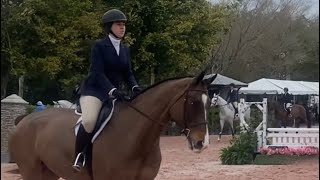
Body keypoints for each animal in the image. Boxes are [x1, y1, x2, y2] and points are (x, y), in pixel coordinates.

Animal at [8, 70, 218, 180]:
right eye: (193, 102)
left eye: (209, 103)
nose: (202, 143)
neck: (137, 138)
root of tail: (24, 120)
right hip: (31, 171)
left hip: (48, 172)